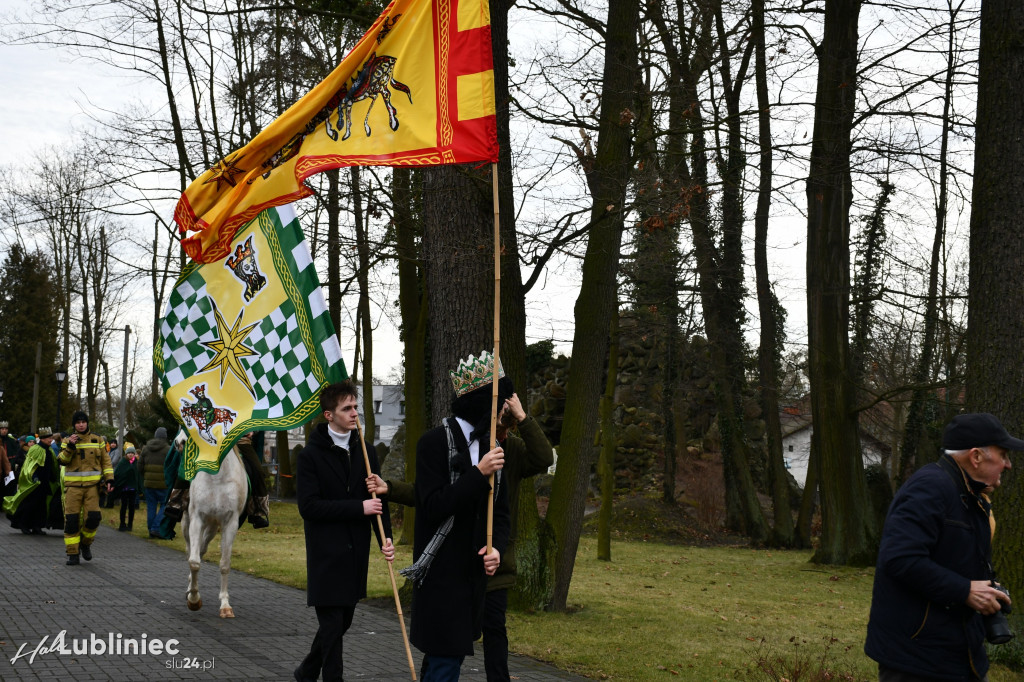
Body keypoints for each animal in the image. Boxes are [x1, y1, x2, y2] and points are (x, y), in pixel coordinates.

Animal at [181, 430, 246, 614]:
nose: (180, 442)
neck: (217, 477)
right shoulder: (197, 518)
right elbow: (194, 561)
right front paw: (194, 600)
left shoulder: (230, 523)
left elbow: (224, 564)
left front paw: (225, 605)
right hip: (188, 524)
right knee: (191, 552)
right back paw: (189, 588)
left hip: (212, 526)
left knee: (202, 549)